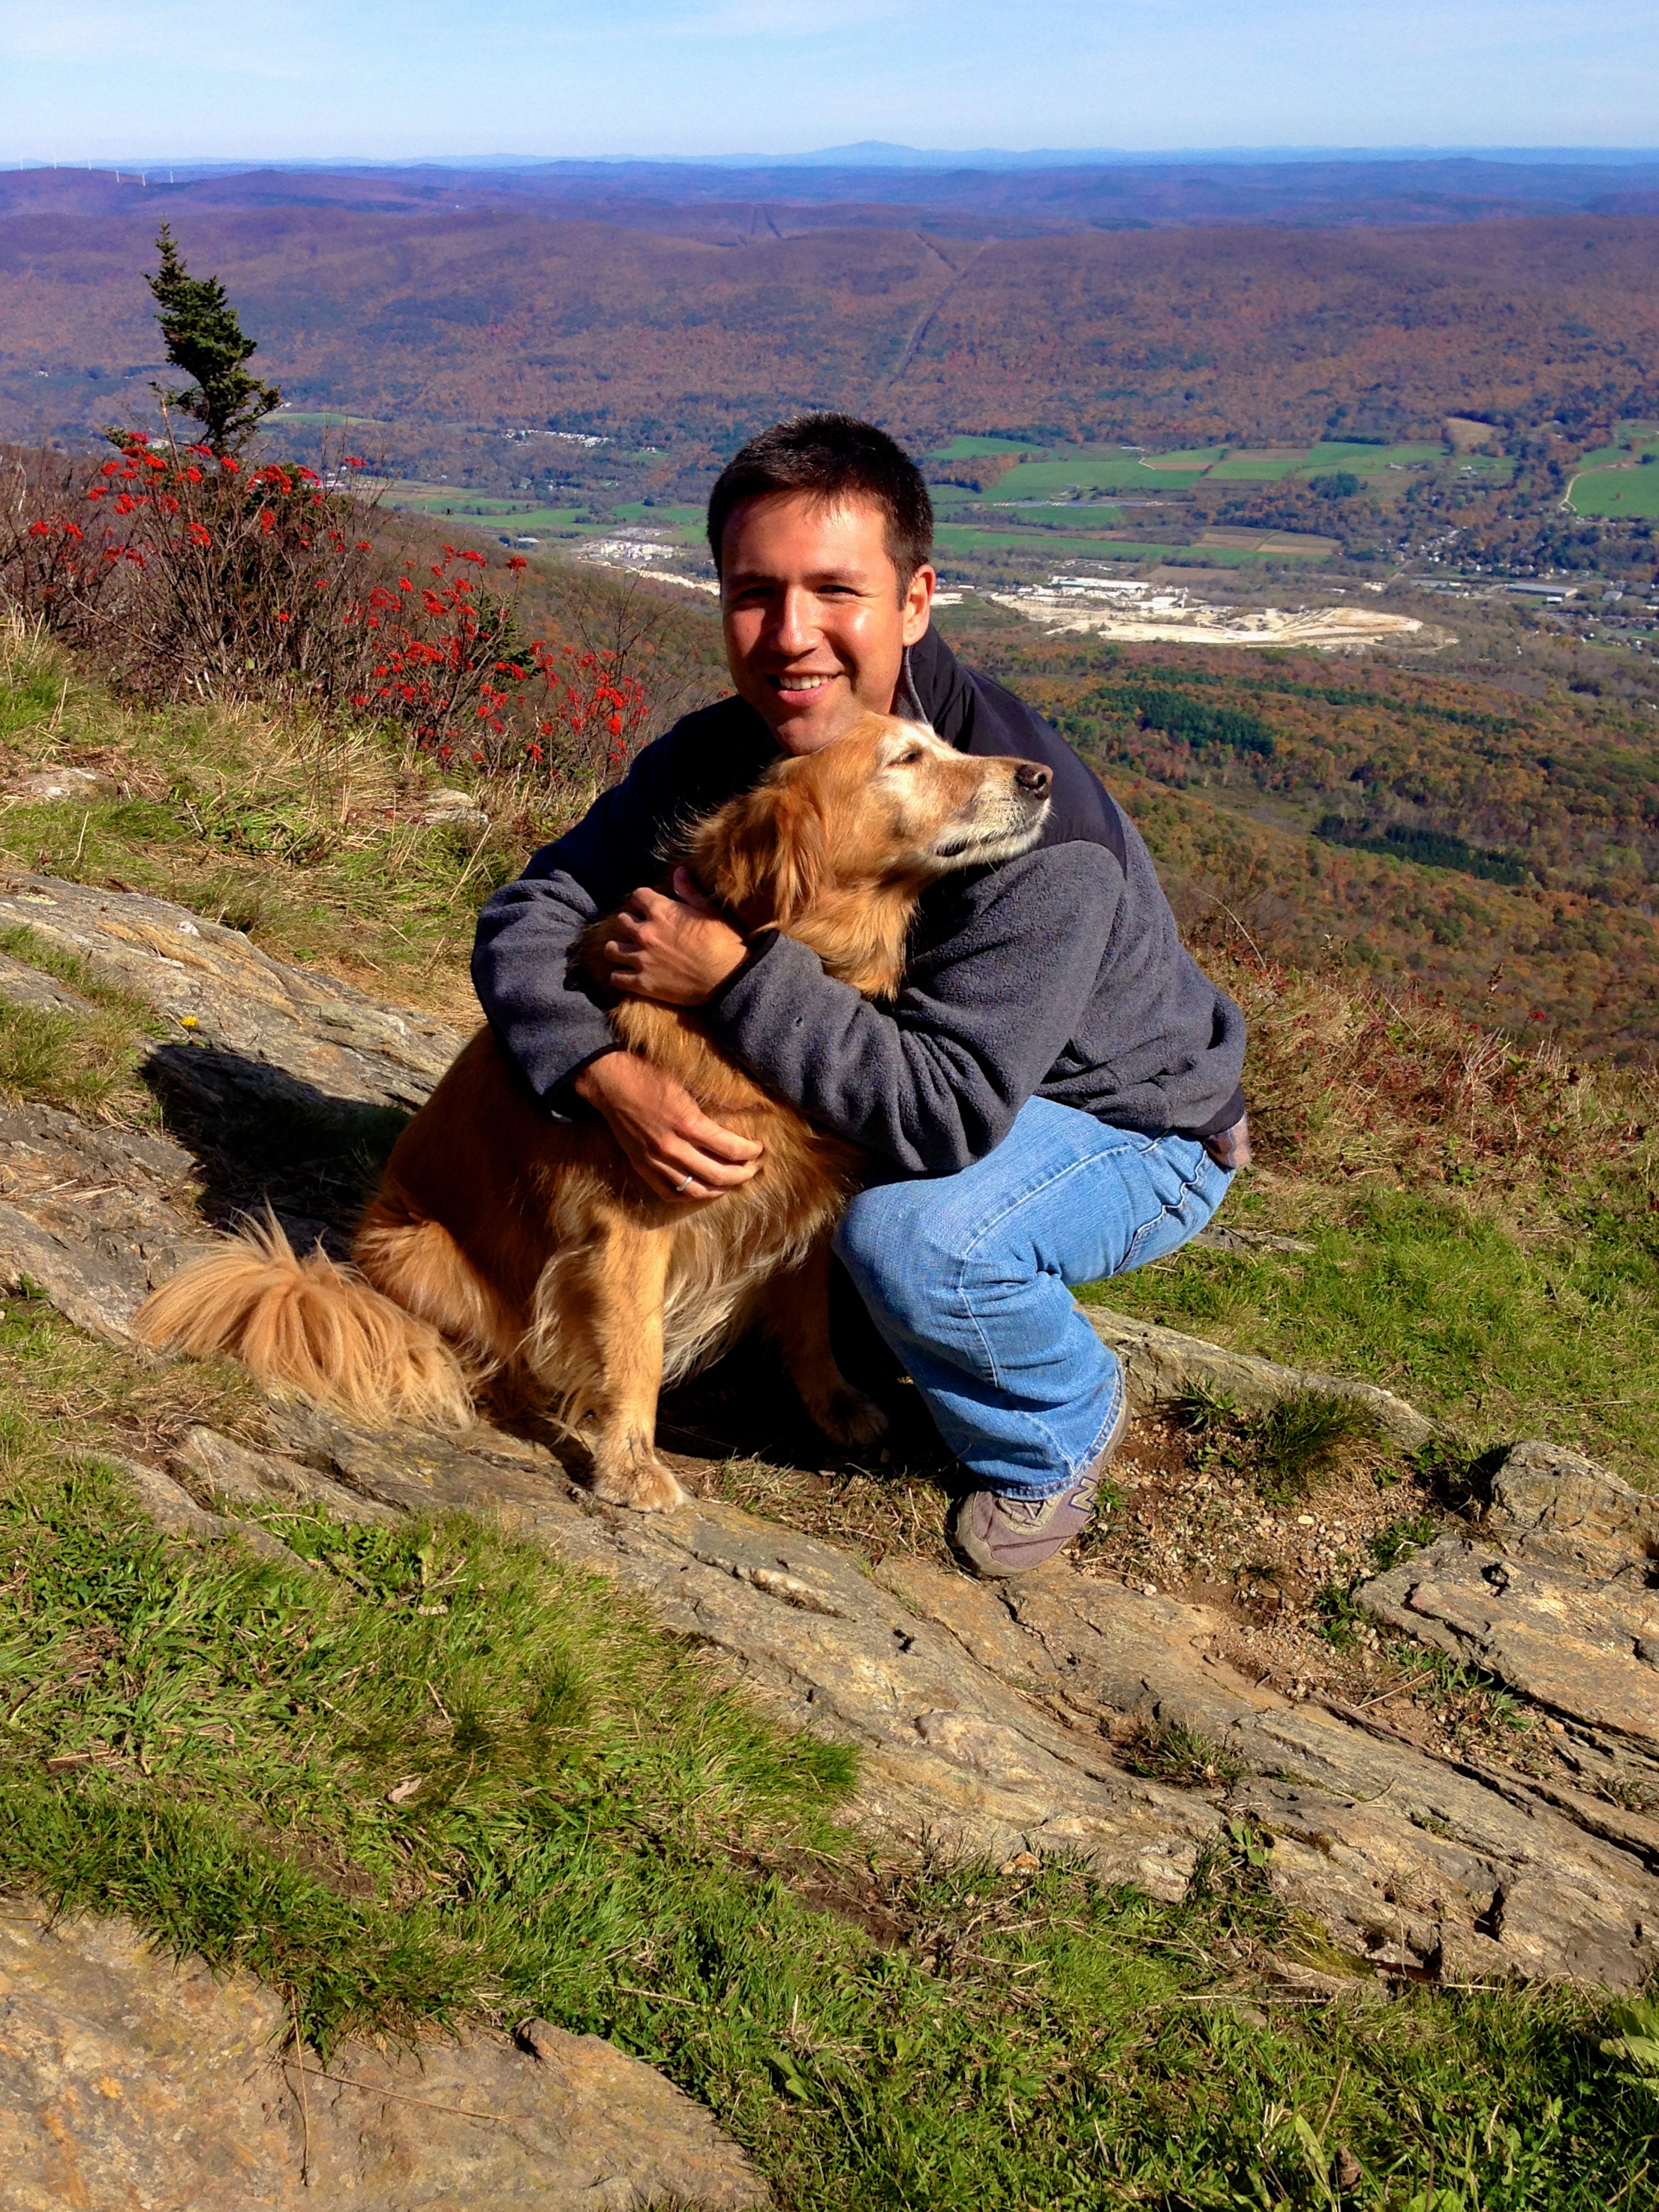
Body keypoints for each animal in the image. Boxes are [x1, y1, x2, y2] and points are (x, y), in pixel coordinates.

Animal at [140, 717, 1053, 1513]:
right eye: (906, 758)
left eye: (942, 741)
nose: (1041, 776)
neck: (797, 964)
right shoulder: (633, 1218)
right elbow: (635, 1347)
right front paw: (629, 1465)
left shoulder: (799, 1199)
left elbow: (808, 1320)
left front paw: (833, 1406)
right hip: (428, 1255)